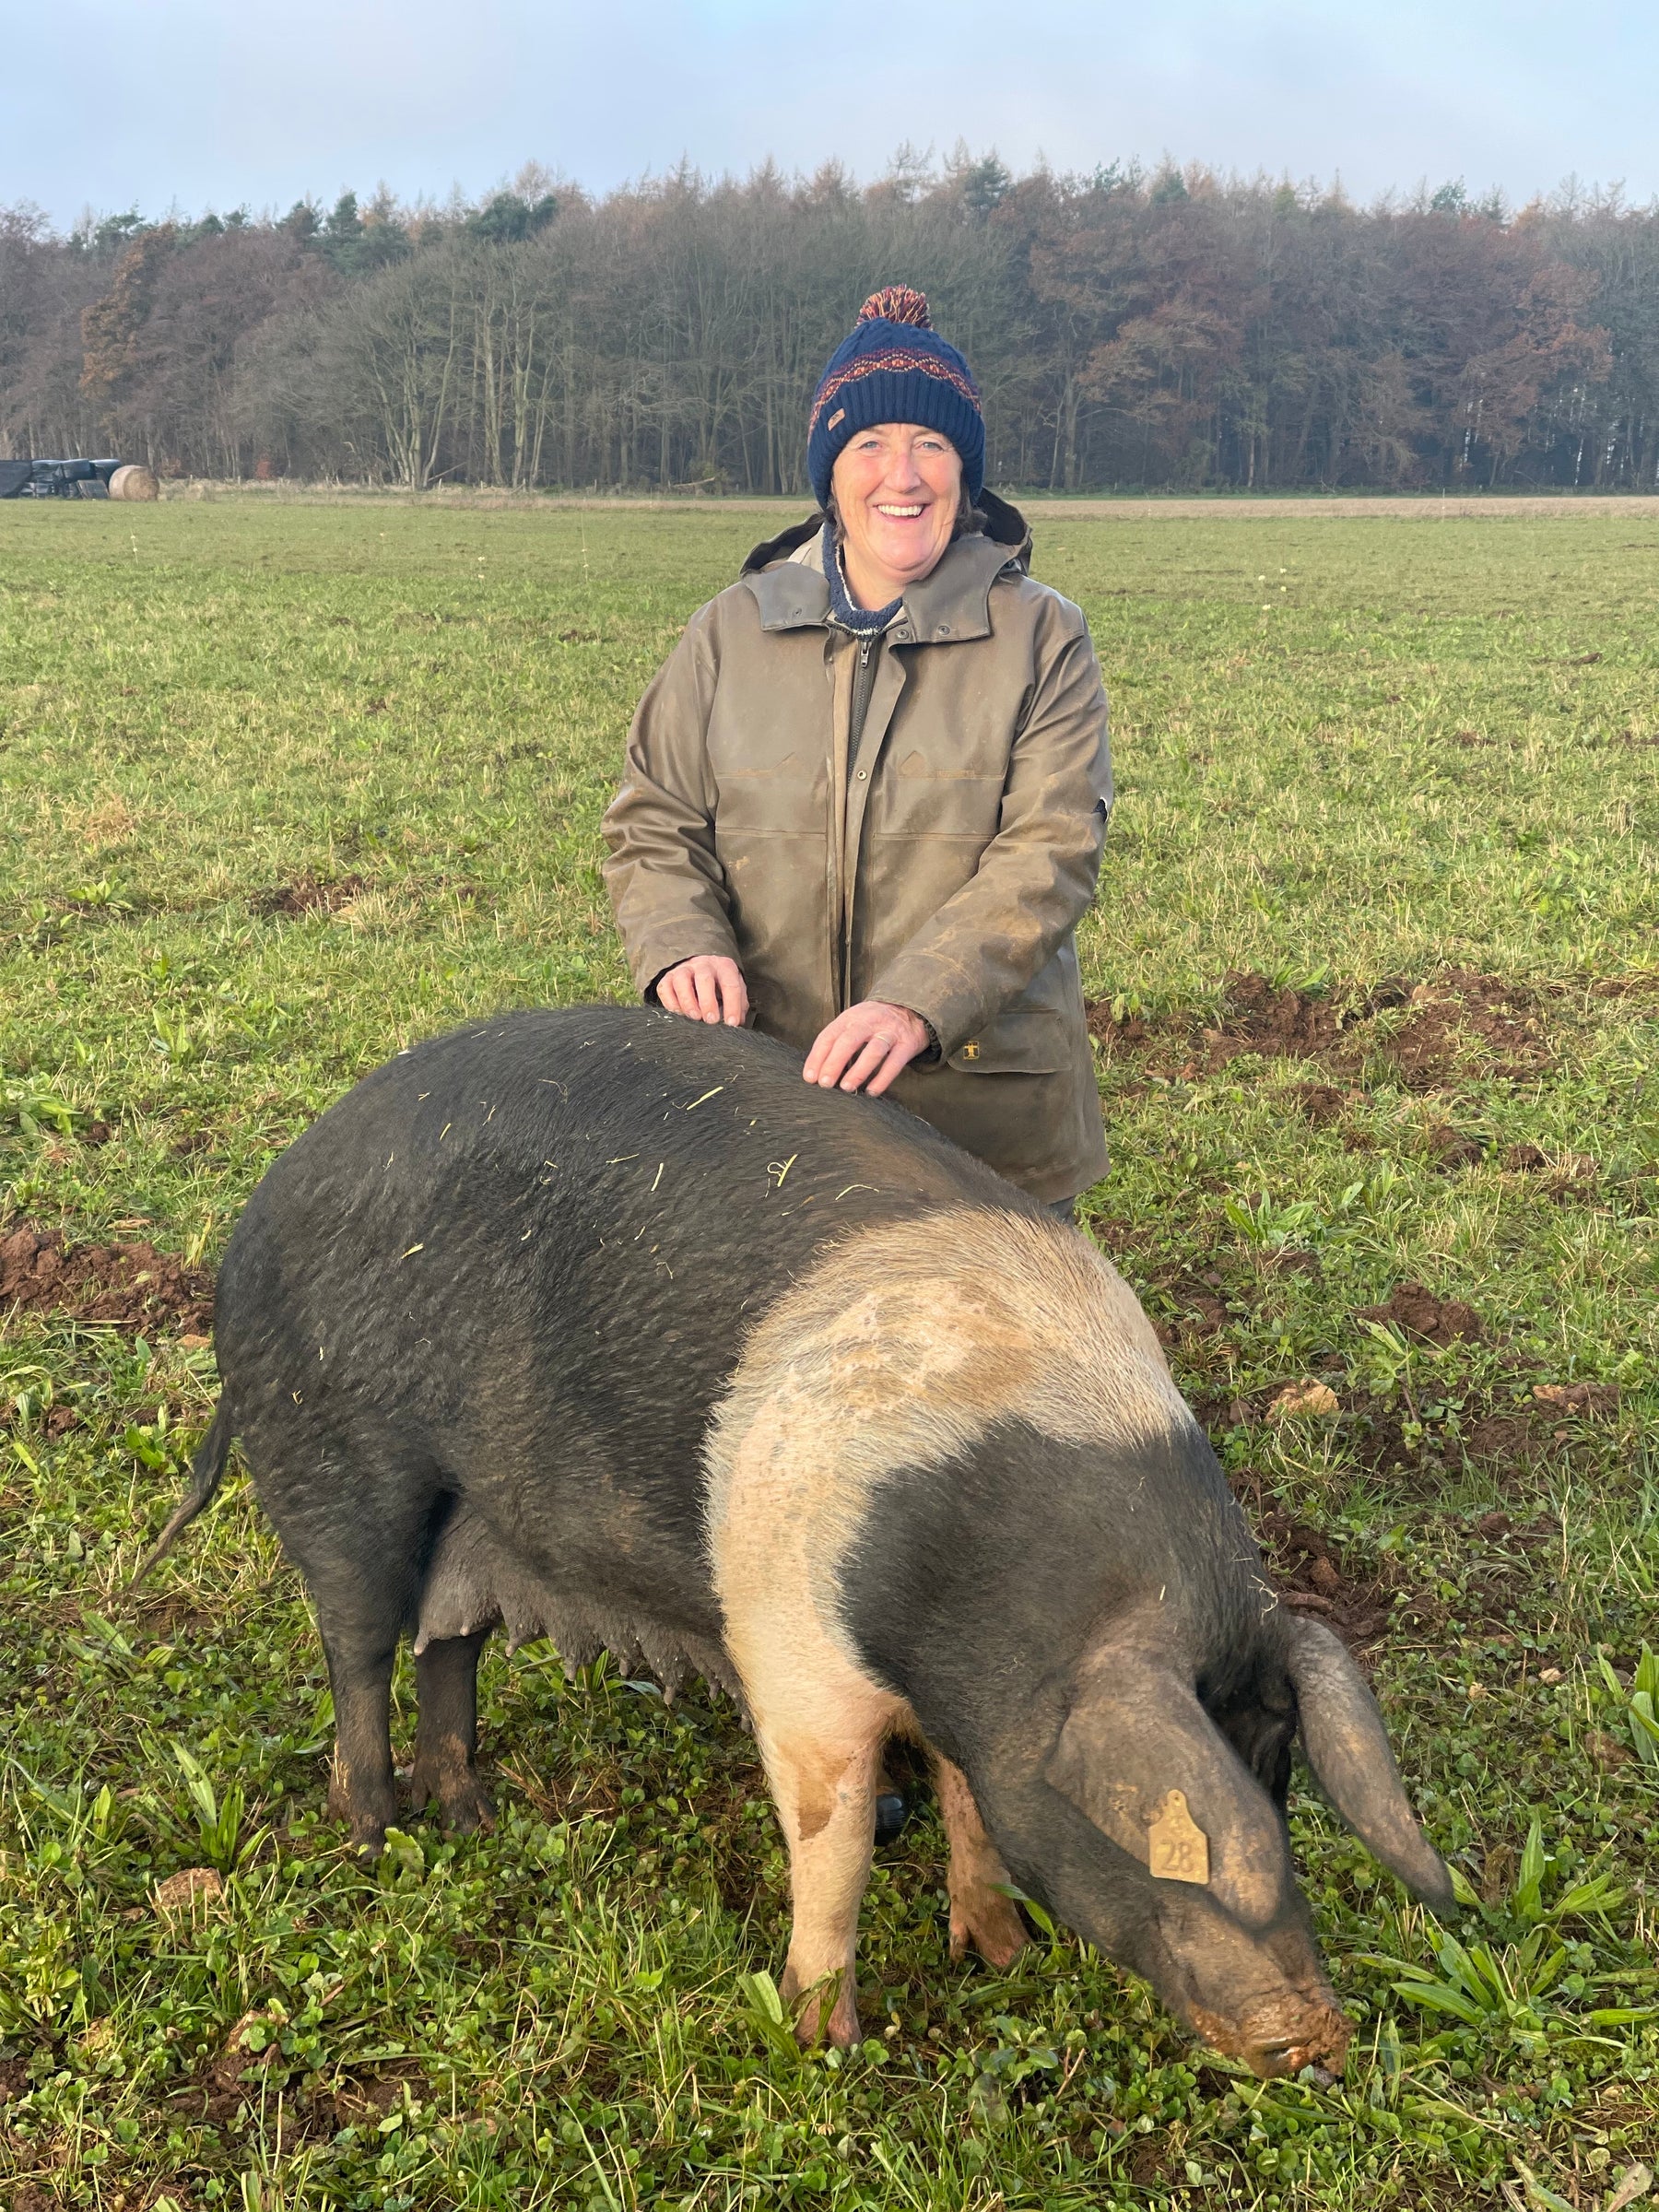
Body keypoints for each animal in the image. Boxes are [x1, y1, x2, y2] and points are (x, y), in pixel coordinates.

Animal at [143, 1006, 1452, 2076]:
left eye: (1279, 1773)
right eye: (1166, 1836)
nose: (1313, 2036)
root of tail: (258, 1210)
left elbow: (973, 1806)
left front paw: (1003, 1954)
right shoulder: (793, 1650)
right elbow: (835, 1838)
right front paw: (822, 2035)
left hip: (474, 1512)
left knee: (445, 1643)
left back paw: (471, 1812)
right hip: (336, 1467)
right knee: (360, 1648)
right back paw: (375, 1836)